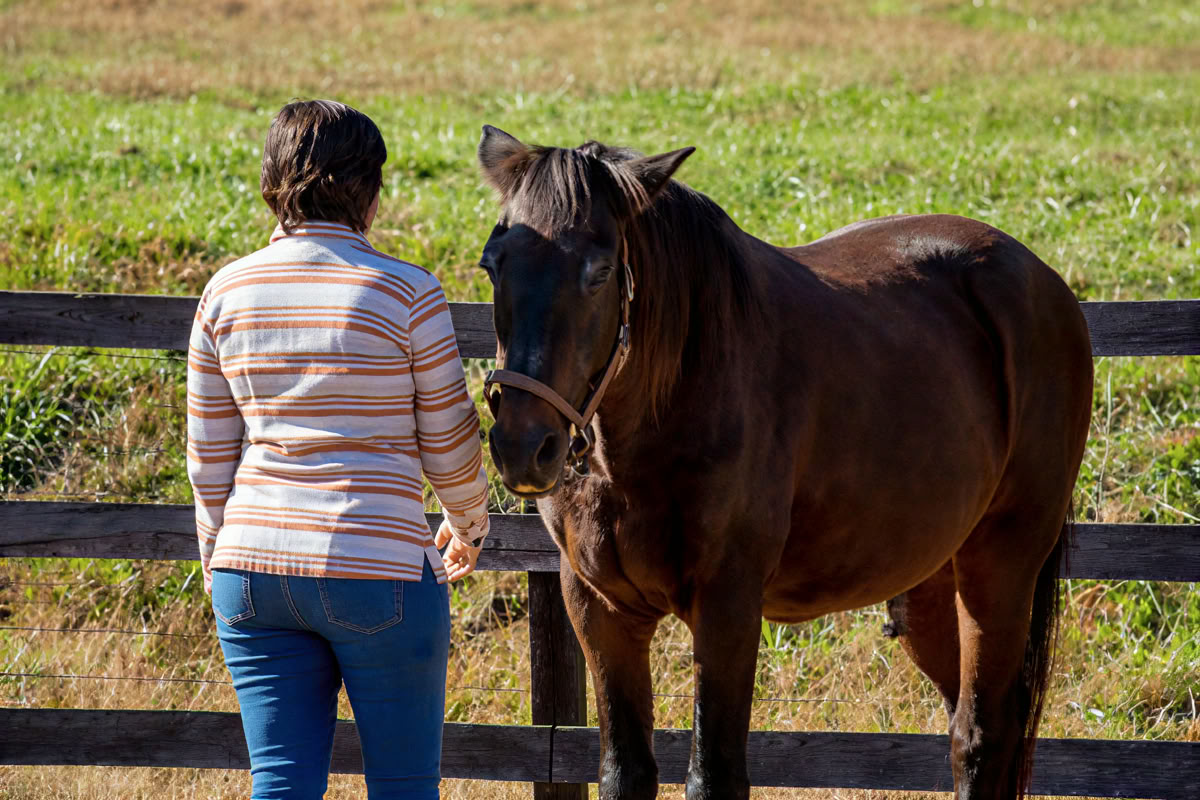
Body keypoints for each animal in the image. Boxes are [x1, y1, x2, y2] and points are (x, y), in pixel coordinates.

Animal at [474, 125, 1093, 800]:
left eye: (601, 270)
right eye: (492, 264)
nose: (522, 444)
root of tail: (1043, 282)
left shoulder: (727, 609)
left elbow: (714, 774)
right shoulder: (599, 609)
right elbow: (624, 771)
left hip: (1001, 563)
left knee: (982, 735)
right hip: (930, 580)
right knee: (967, 727)